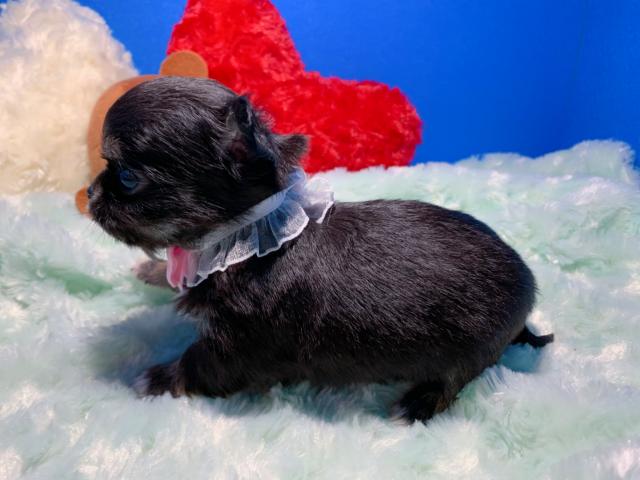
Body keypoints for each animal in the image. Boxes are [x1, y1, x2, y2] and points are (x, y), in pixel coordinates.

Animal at [89, 76, 552, 423]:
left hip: (470, 351)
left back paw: (414, 406)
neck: (245, 238)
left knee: (453, 381)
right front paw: (158, 272)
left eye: (127, 178)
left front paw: (154, 379)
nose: (90, 192)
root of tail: (529, 286)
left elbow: (196, 363)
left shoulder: (238, 347)